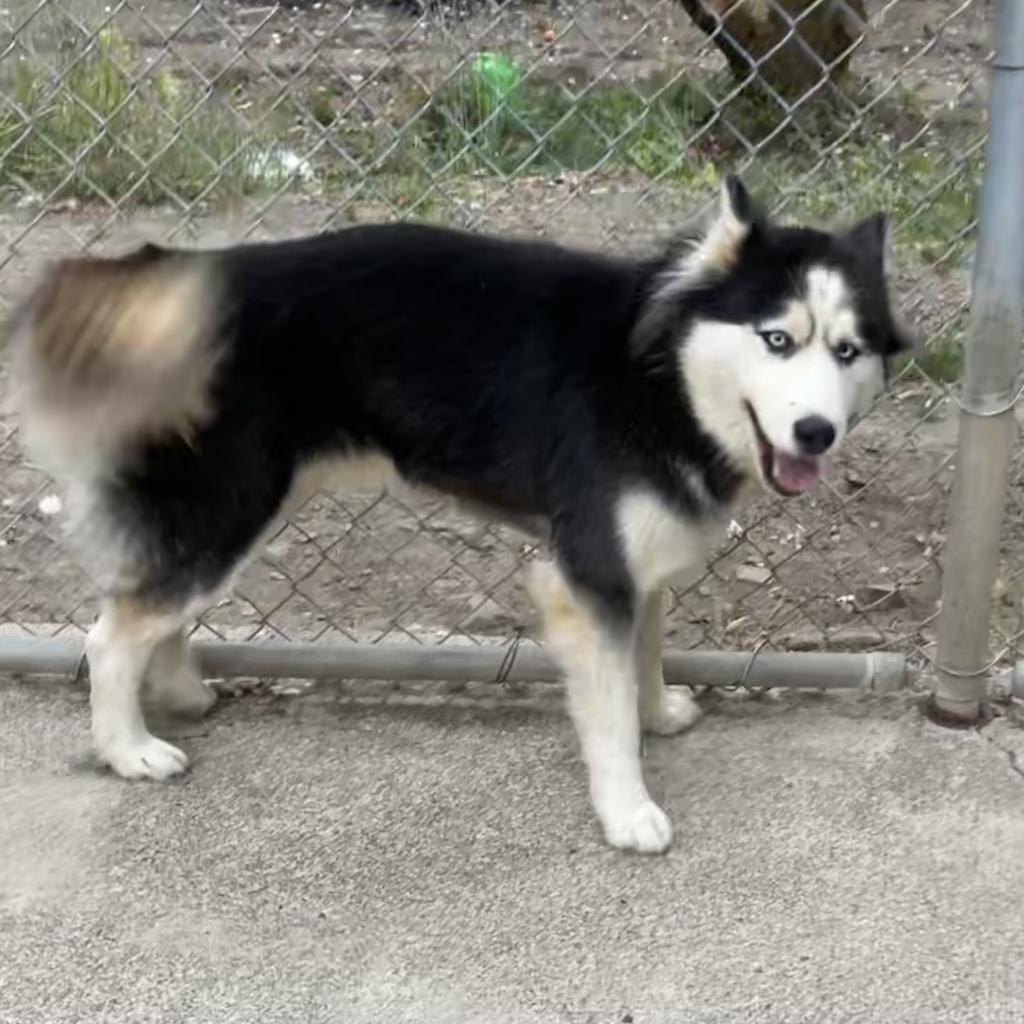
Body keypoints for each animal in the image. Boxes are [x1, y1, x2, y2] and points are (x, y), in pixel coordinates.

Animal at [12, 178, 913, 856]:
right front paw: (627, 810)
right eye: (776, 338)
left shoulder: (639, 559)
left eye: (847, 350)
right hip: (230, 504)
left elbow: (648, 655)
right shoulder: (587, 569)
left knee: (155, 606)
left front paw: (659, 714)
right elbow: (608, 706)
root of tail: (192, 272)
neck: (658, 376)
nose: (816, 433)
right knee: (113, 631)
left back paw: (178, 694)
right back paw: (129, 749)